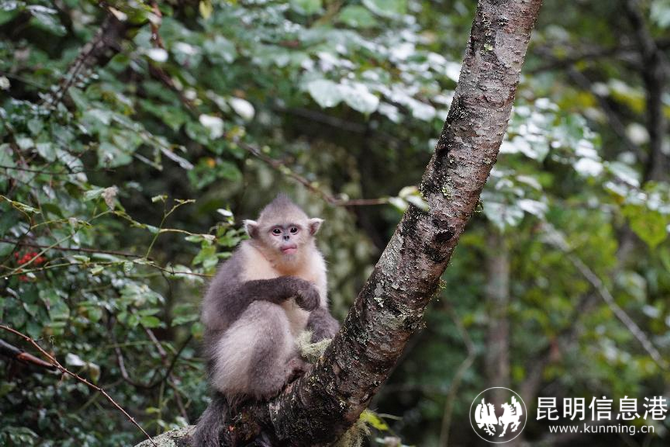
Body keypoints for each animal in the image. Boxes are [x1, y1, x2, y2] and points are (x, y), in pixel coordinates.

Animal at [193, 194, 340, 447]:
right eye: (276, 231)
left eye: (294, 229)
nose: (286, 237)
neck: (281, 264)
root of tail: (218, 389)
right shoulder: (245, 258)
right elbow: (220, 306)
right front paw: (292, 285)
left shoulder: (317, 264)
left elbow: (319, 312)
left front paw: (324, 326)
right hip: (228, 371)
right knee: (265, 310)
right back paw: (269, 383)